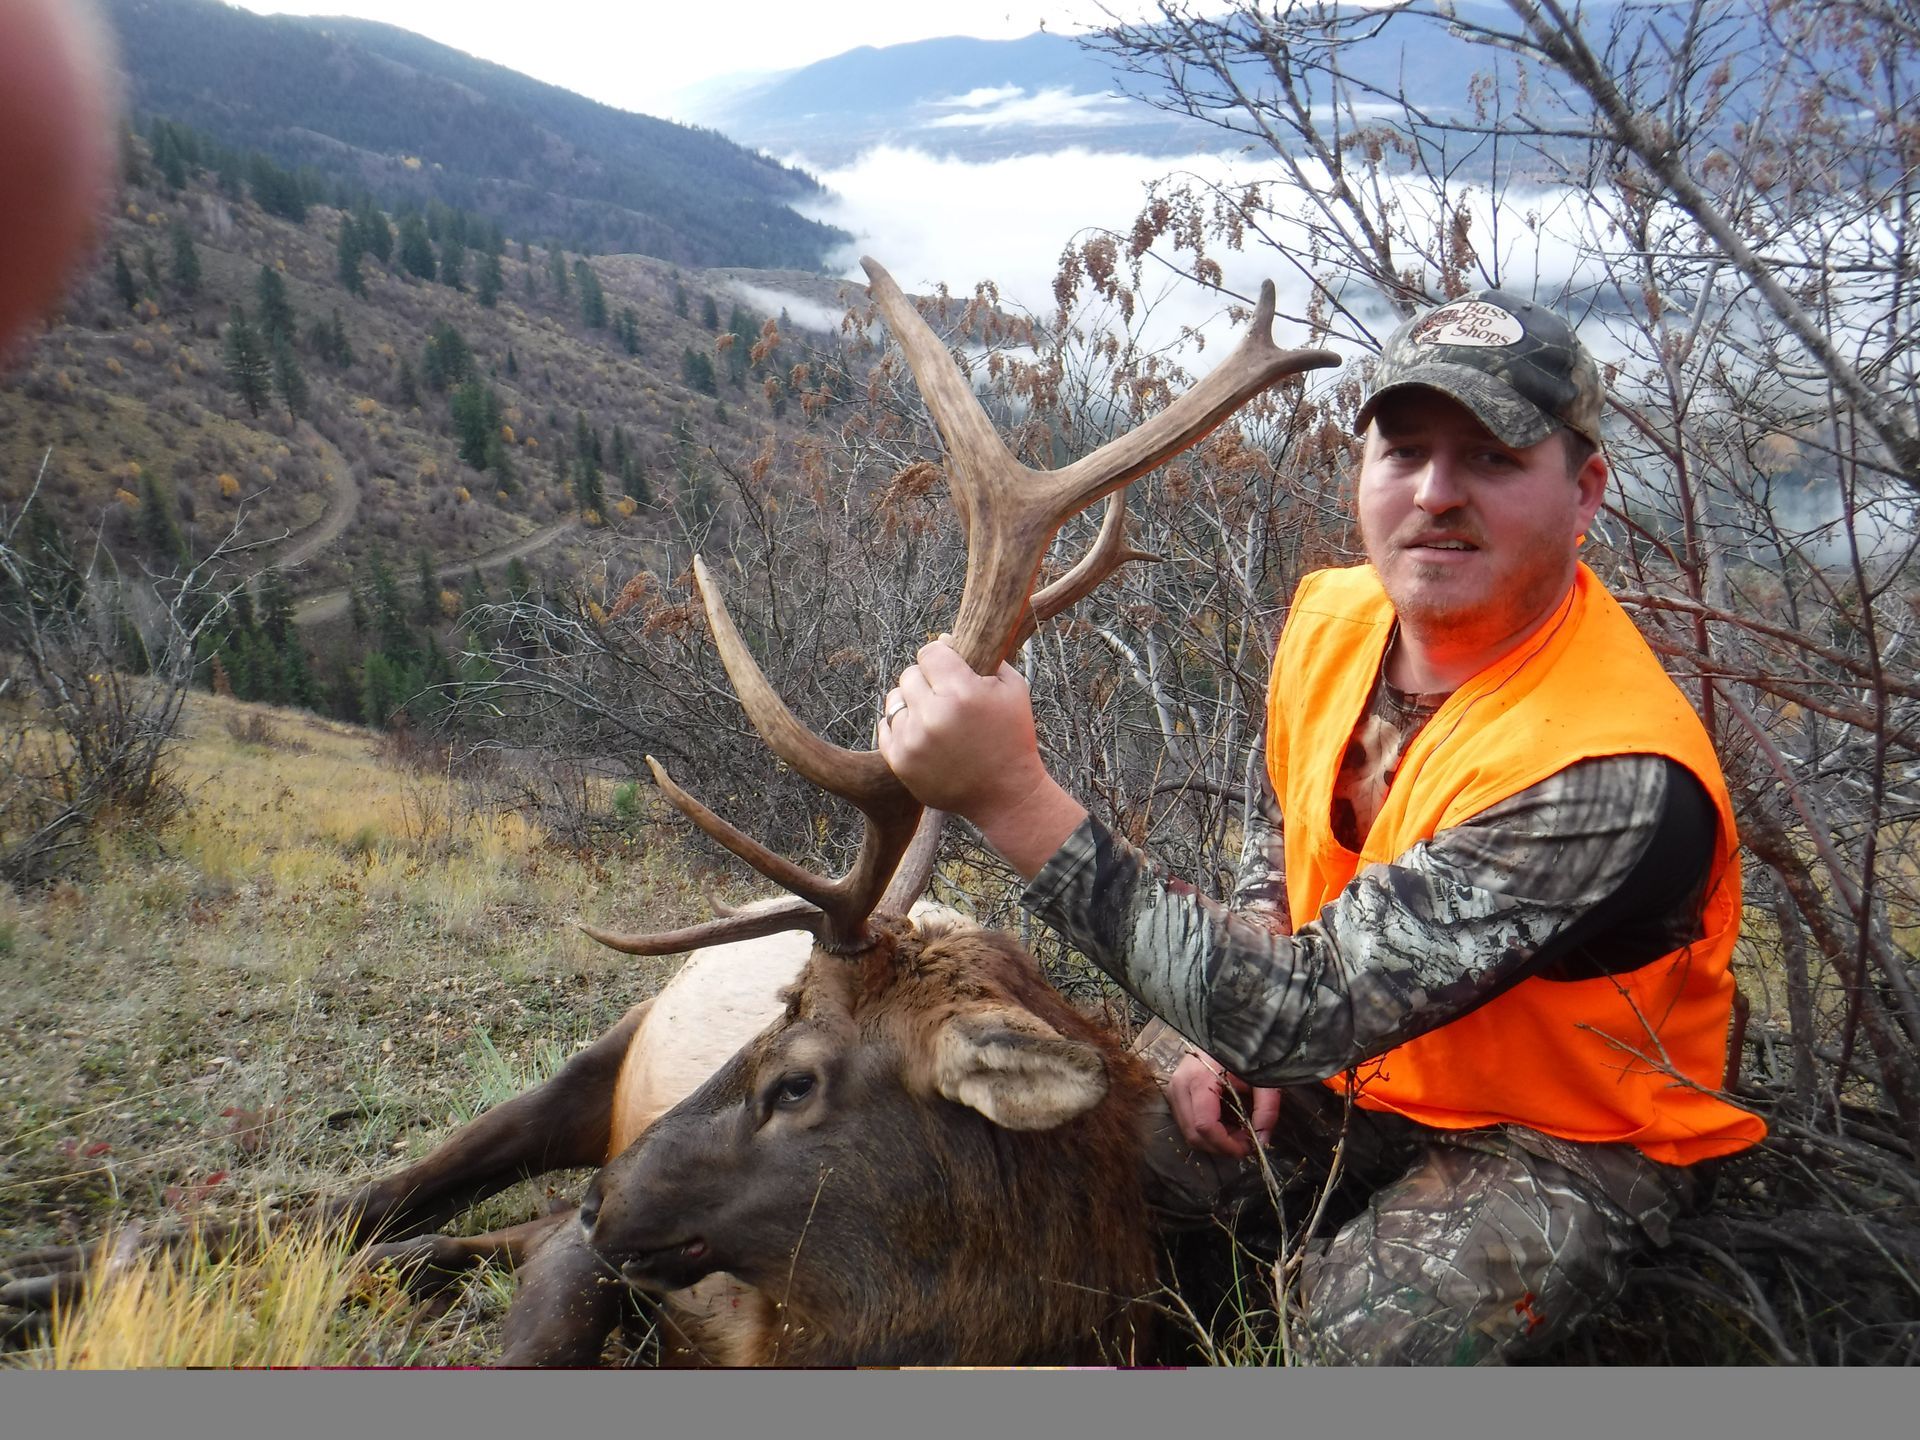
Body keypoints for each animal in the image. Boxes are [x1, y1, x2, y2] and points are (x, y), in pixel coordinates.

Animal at [1, 258, 1337, 1366]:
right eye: (776, 1013)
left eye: (794, 1081)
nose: (612, 1198)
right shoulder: (608, 1262)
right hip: (591, 1063)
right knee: (364, 1200)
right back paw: (68, 1265)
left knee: (415, 1233)